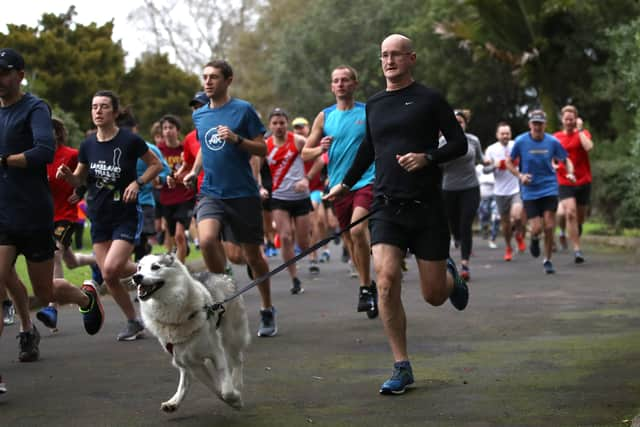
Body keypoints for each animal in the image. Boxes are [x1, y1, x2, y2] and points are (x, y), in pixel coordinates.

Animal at [134, 256, 250, 412]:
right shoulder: (190, 361)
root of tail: (222, 275)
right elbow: (216, 389)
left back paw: (237, 382)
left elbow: (225, 389)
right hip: (180, 357)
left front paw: (235, 399)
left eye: (155, 267)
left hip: (232, 335)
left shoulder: (216, 352)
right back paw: (173, 402)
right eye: (139, 268)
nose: (136, 277)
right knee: (185, 377)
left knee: (238, 360)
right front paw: (233, 400)